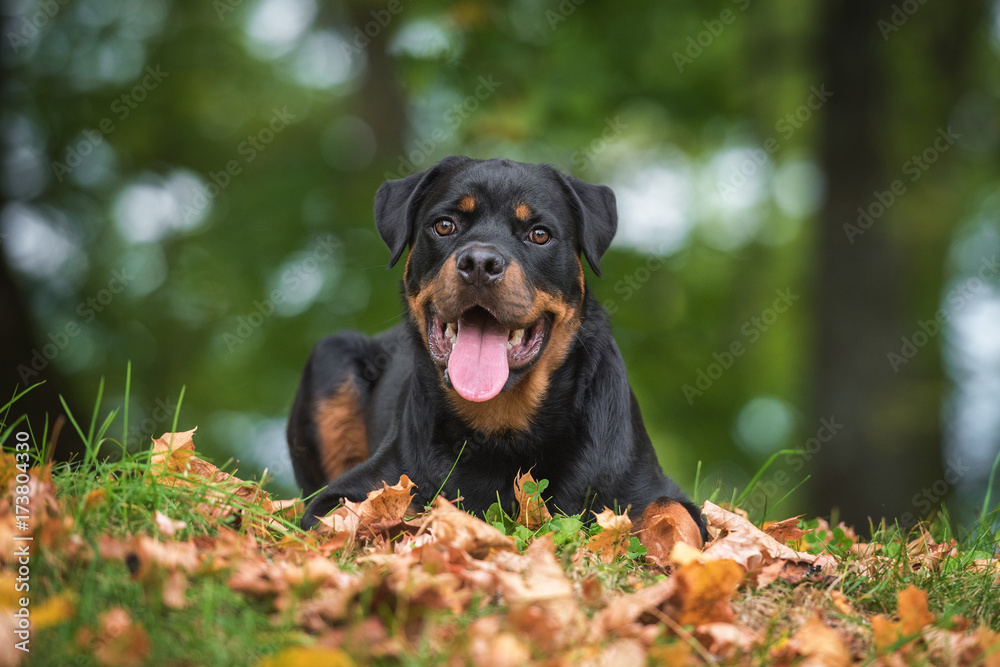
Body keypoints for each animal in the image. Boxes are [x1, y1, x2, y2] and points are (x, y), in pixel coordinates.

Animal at [290, 157, 708, 544]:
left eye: (539, 234)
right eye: (444, 225)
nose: (479, 262)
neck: (504, 426)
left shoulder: (642, 484)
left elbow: (671, 510)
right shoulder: (349, 492)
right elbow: (369, 513)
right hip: (332, 357)